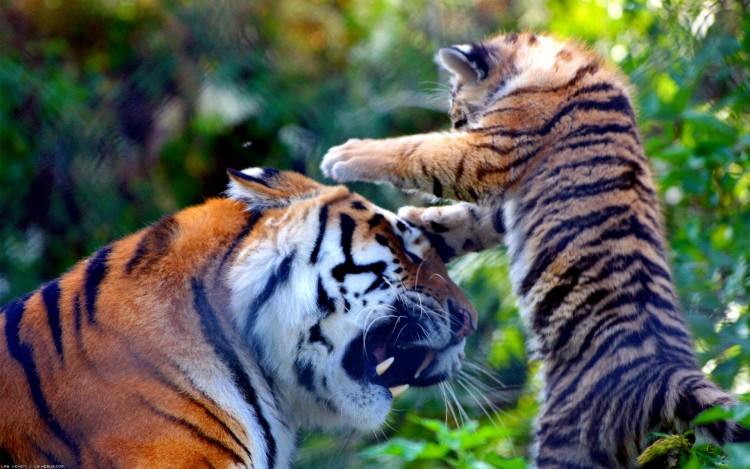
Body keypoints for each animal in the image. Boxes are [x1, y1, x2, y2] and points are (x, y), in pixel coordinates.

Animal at [324, 31, 750, 466]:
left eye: (458, 111)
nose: (457, 122)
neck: (544, 63)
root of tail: (669, 371)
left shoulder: (489, 152)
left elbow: (421, 151)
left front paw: (347, 156)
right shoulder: (501, 196)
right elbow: (469, 223)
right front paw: (417, 226)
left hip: (567, 435)